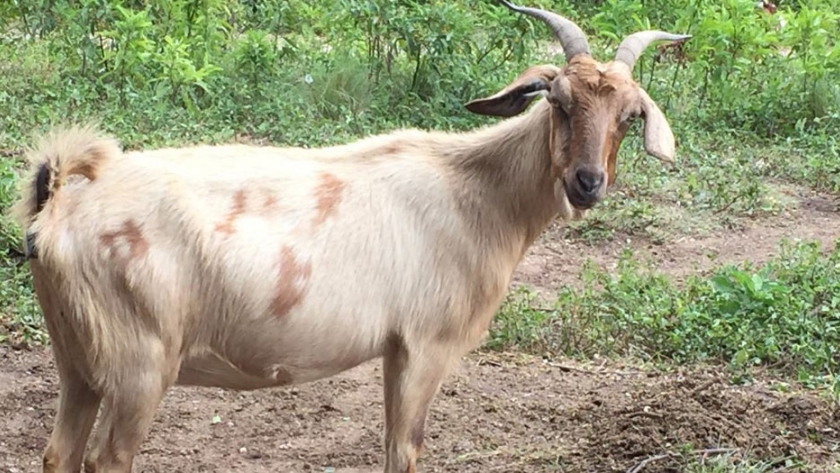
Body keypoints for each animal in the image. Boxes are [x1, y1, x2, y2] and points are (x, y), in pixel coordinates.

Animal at [9, 1, 684, 470]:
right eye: (559, 101)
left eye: (629, 116)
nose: (587, 183)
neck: (475, 195)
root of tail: (61, 200)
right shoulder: (427, 345)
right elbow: (404, 451)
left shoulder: (396, 349)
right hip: (139, 362)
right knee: (107, 458)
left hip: (77, 359)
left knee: (59, 453)